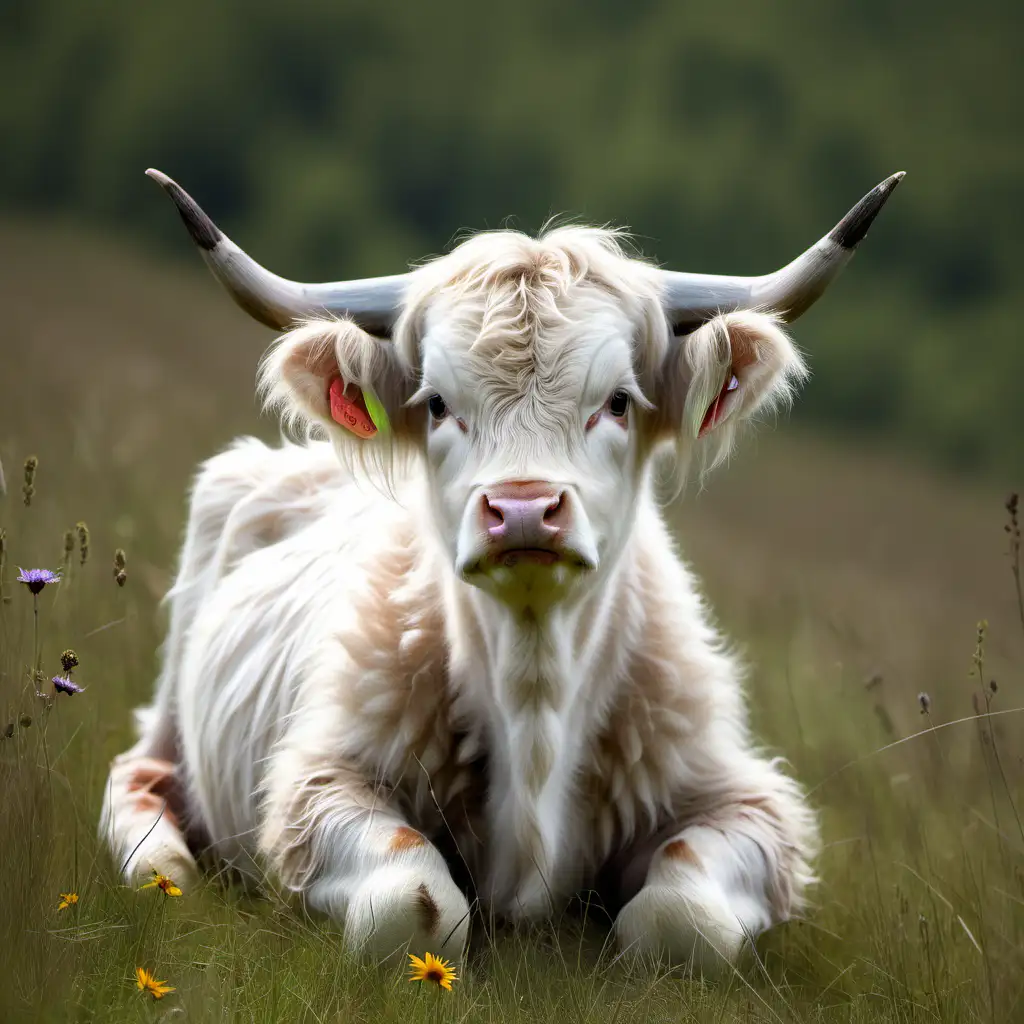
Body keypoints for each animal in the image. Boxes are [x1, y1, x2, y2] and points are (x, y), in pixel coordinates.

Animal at [101, 172, 905, 970]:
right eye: (437, 403)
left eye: (618, 401)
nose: (523, 511)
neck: (534, 695)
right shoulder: (320, 782)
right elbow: (414, 907)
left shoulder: (744, 801)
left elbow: (684, 919)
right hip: (170, 723)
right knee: (139, 792)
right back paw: (163, 865)